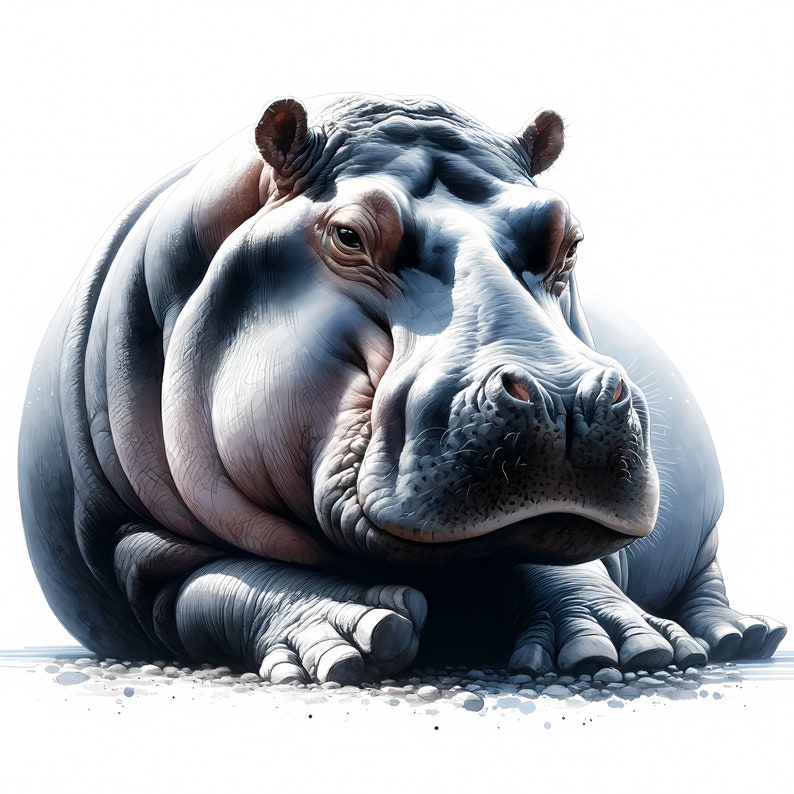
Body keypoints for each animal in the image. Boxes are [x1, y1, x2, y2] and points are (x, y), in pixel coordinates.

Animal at [19, 94, 785, 684]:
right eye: (349, 234)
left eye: (566, 235)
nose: (565, 396)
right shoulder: (130, 542)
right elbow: (213, 584)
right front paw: (353, 634)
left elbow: (566, 561)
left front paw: (628, 644)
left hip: (709, 529)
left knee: (709, 574)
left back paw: (738, 636)